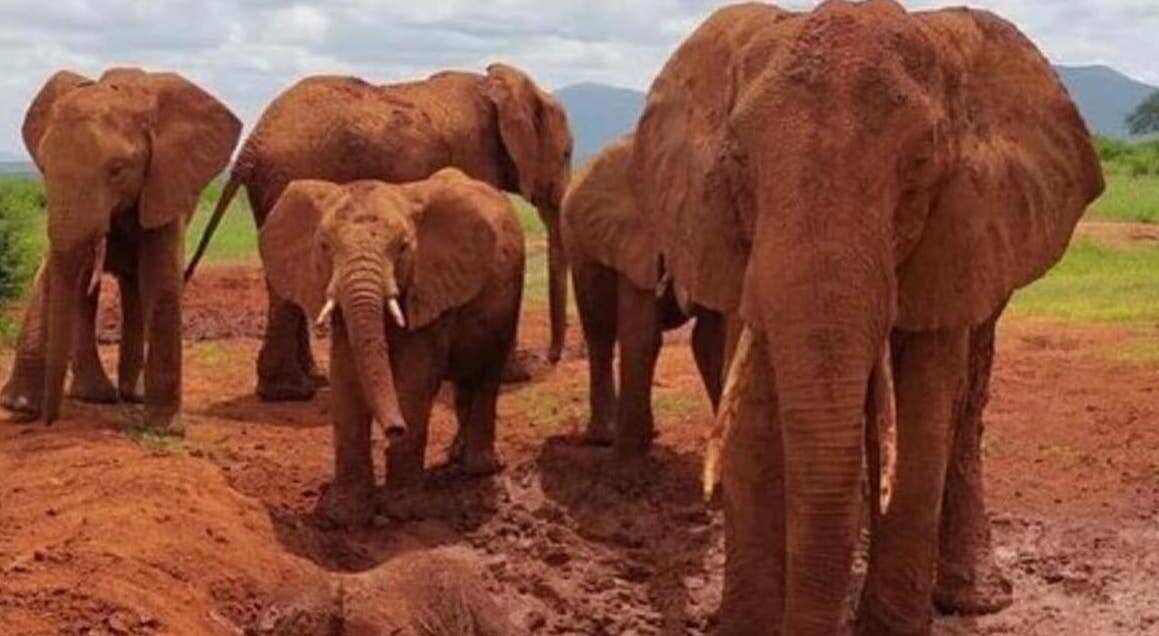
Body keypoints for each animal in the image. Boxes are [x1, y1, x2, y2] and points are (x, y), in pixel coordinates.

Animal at [0, 68, 241, 433]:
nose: (48, 421)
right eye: (43, 166)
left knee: (135, 287)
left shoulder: (165, 184)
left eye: (116, 170)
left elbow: (160, 280)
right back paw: (95, 396)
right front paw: (22, 406)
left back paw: (130, 395)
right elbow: (55, 273)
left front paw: (164, 429)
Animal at [187, 64, 572, 402]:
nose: (551, 357)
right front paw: (513, 375)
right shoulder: (475, 157)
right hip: (290, 176)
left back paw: (312, 381)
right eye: (568, 153)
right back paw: (290, 393)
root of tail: (252, 143)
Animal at [257, 169, 524, 527]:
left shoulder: (428, 287)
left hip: (508, 300)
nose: (395, 429)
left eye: (402, 247)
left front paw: (404, 512)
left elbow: (414, 382)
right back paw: (456, 457)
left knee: (486, 375)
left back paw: (479, 468)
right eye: (324, 246)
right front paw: (343, 515)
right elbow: (346, 379)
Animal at [561, 135, 726, 454]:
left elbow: (710, 339)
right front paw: (630, 451)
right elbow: (641, 332)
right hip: (579, 250)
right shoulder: (633, 239)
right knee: (600, 334)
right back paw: (605, 437)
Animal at [631, 2, 1103, 634]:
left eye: (921, 164)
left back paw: (972, 598)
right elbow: (753, 416)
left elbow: (924, 415)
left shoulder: (957, 231)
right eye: (737, 161)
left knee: (964, 408)